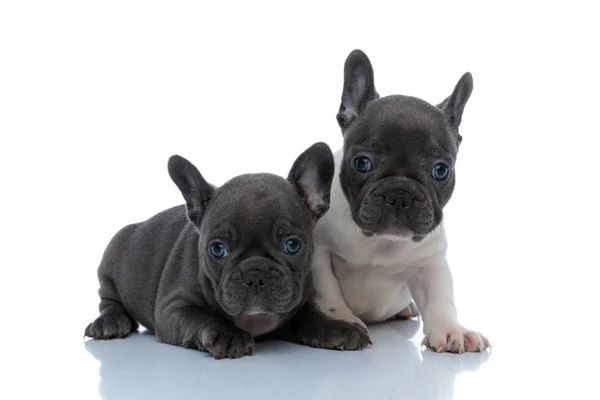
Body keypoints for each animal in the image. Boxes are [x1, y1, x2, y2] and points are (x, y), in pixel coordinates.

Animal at [84, 143, 338, 360]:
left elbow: (310, 315)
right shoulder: (172, 309)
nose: (255, 273)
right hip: (110, 263)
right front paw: (228, 335)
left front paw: (336, 328)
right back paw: (108, 323)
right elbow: (201, 316)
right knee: (108, 300)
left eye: (292, 245)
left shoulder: (300, 301)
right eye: (217, 249)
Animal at [308, 50, 490, 354]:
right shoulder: (320, 253)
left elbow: (440, 298)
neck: (380, 242)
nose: (400, 194)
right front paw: (343, 321)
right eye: (362, 162)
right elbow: (328, 293)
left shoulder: (430, 261)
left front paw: (452, 330)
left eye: (441, 170)